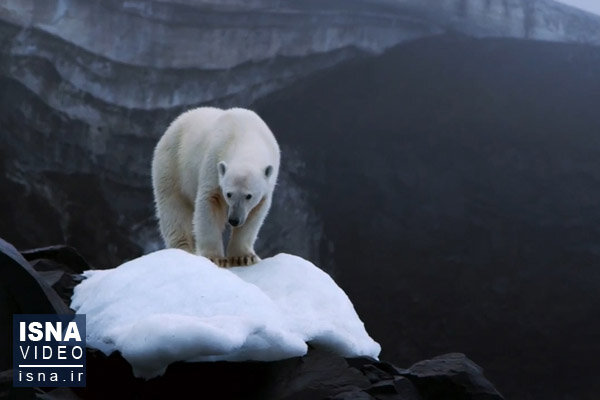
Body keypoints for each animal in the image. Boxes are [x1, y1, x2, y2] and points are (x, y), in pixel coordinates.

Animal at [151, 108, 280, 268]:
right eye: (228, 194)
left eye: (249, 196)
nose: (234, 220)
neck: (246, 137)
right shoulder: (214, 160)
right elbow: (210, 202)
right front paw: (215, 258)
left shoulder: (268, 182)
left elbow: (255, 213)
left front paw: (244, 257)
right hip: (172, 165)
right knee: (174, 207)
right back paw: (184, 249)